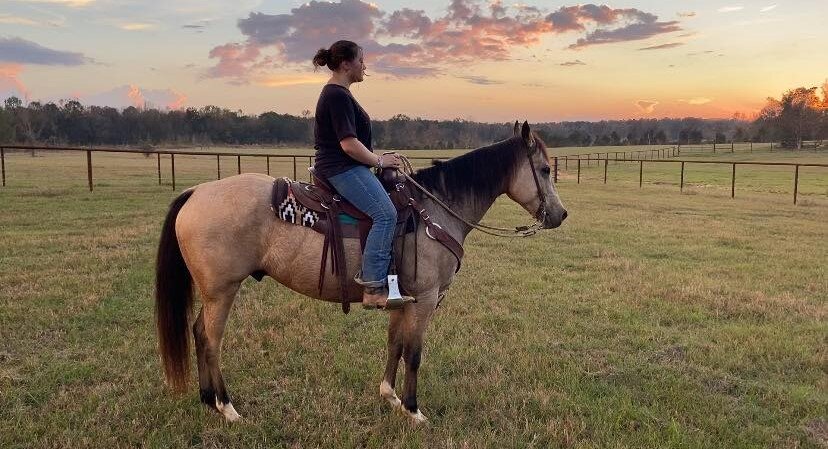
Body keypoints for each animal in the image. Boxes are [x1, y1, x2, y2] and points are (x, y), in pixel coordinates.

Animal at [154, 121, 567, 424]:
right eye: (545, 169)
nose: (560, 215)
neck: (436, 210)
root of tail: (197, 192)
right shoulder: (425, 299)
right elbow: (414, 353)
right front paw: (414, 410)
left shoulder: (404, 298)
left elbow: (395, 345)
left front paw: (390, 397)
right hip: (222, 290)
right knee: (211, 340)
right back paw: (227, 408)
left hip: (212, 292)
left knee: (197, 332)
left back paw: (207, 399)